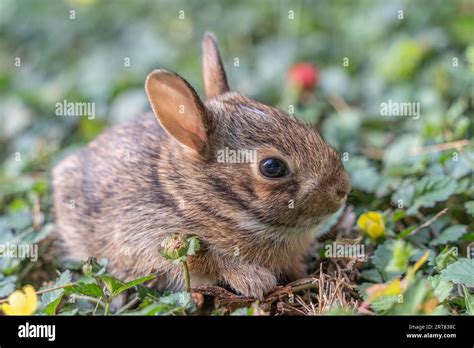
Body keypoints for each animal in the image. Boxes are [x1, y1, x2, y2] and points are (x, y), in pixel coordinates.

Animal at [52, 33, 352, 300]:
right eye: (272, 167)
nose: (342, 188)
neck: (201, 200)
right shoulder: (149, 233)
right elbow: (209, 260)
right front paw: (256, 281)